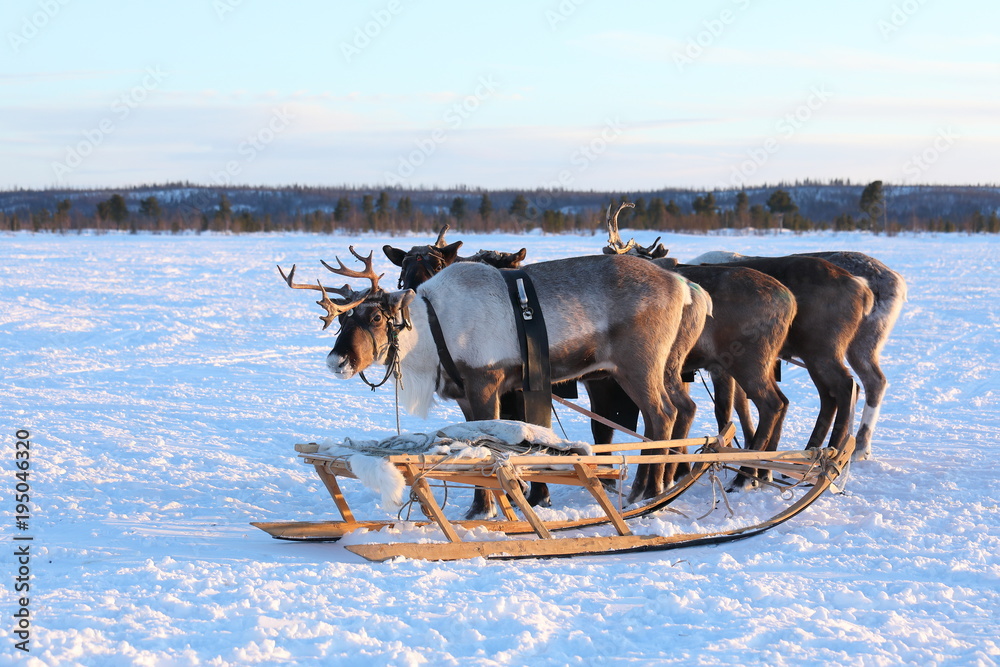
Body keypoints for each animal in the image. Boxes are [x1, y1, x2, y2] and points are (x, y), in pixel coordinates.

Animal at [278, 246, 705, 516]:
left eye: (377, 317)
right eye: (342, 320)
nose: (336, 360)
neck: (432, 334)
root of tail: (686, 287)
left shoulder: (484, 381)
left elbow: (483, 451)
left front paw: (483, 510)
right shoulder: (465, 393)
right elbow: (473, 445)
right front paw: (478, 507)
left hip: (638, 364)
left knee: (661, 414)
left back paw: (647, 492)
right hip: (669, 365)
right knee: (686, 407)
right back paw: (667, 481)